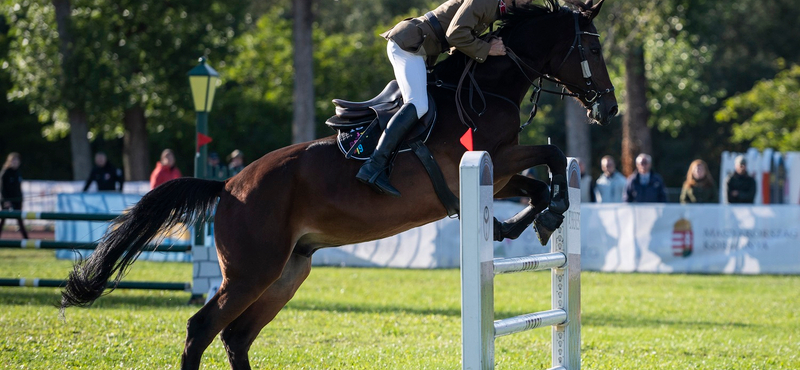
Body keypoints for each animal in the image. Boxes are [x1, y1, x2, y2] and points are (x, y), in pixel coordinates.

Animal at [61, 1, 620, 368]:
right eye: (591, 48)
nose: (610, 109)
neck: (489, 85)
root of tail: (228, 187)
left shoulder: (498, 173)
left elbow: (540, 184)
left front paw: (532, 223)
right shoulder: (489, 161)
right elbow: (550, 157)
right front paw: (544, 217)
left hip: (287, 272)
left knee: (236, 336)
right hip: (251, 272)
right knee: (203, 329)